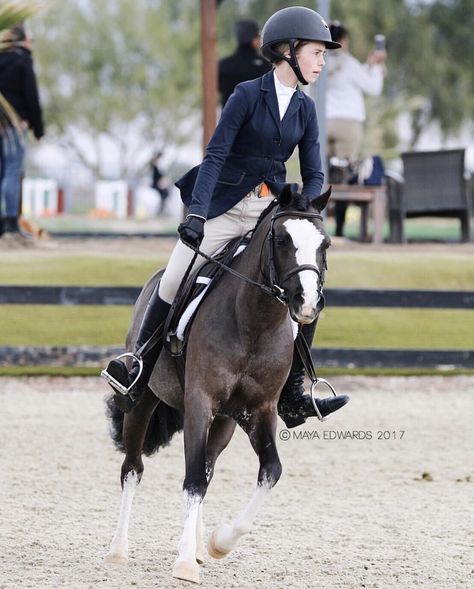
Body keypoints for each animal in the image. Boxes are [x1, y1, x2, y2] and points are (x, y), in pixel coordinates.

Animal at [105, 185, 334, 584]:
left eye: (325, 244)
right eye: (282, 240)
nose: (307, 304)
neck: (253, 322)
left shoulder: (258, 411)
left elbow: (269, 471)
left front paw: (218, 543)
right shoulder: (201, 403)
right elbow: (193, 480)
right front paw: (183, 564)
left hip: (225, 422)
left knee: (208, 467)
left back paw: (198, 548)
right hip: (142, 403)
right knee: (133, 470)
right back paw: (119, 550)